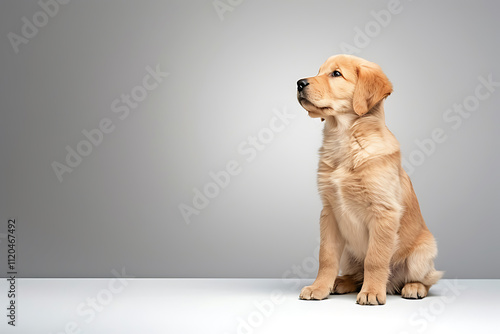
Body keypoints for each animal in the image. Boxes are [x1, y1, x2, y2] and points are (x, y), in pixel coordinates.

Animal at [296, 54, 442, 306]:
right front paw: (319, 287)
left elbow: (375, 258)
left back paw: (413, 287)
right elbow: (326, 256)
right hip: (348, 252)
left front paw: (372, 292)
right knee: (356, 273)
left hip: (423, 252)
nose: (299, 83)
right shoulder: (329, 211)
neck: (345, 138)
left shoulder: (384, 211)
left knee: (428, 278)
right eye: (319, 71)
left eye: (336, 74)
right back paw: (341, 282)